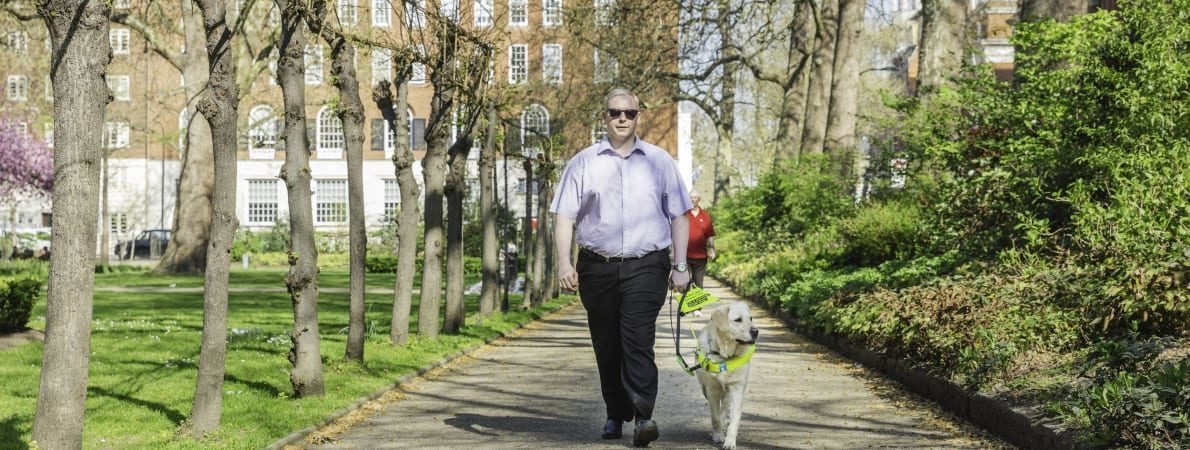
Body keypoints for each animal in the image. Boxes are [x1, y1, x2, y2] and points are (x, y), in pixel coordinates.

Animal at [694, 302, 756, 450]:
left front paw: (729, 442)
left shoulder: (737, 389)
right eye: (738, 320)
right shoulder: (712, 390)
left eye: (751, 318)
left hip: (728, 392)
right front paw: (717, 436)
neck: (725, 356)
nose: (756, 331)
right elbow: (715, 417)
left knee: (725, 408)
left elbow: (733, 420)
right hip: (705, 389)